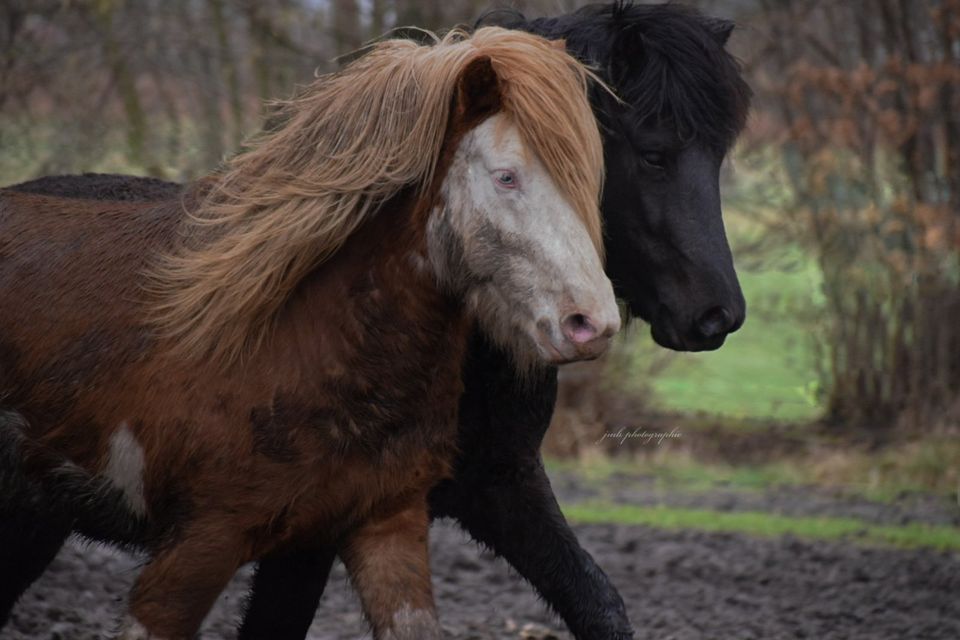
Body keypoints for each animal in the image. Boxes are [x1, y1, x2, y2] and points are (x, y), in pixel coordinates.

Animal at [1, 2, 752, 636]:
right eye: (652, 154)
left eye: (718, 157)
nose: (719, 315)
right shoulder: (298, 527)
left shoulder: (500, 488)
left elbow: (598, 601)